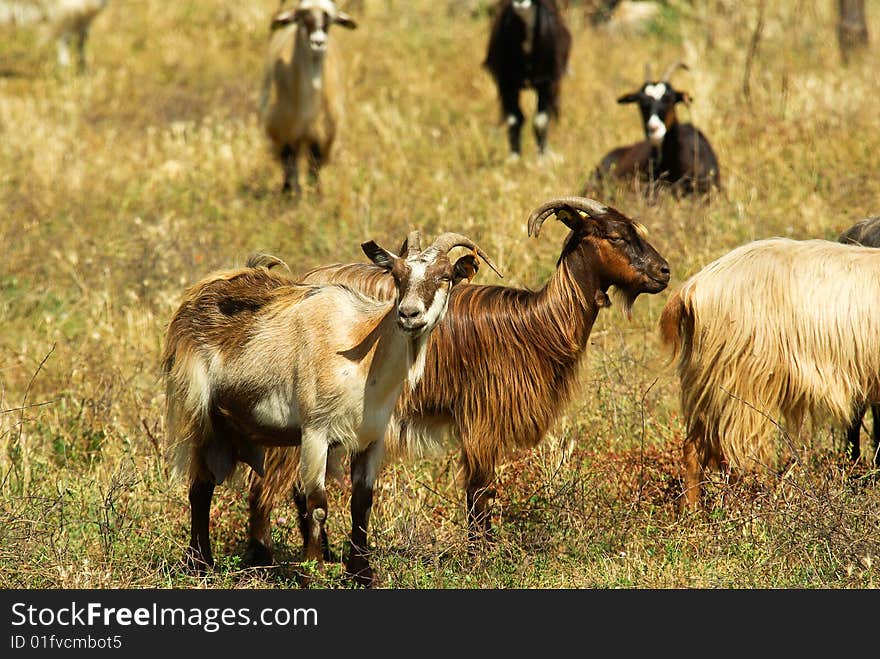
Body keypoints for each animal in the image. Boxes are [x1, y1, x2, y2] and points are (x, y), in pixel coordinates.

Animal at [161, 232, 498, 588]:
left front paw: (362, 574)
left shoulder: (371, 438)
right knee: (200, 486)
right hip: (199, 413)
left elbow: (362, 502)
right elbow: (317, 504)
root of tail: (204, 290)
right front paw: (314, 572)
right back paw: (200, 564)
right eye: (397, 275)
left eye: (445, 276)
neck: (363, 354)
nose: (409, 314)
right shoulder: (315, 433)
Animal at [241, 199, 668, 564]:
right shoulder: (481, 419)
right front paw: (483, 558)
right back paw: (266, 561)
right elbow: (480, 491)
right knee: (269, 486)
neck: (536, 326)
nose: (664, 271)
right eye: (615, 236)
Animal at [482, 0, 572, 159]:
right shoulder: (507, 84)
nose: (520, 3)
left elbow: (540, 120)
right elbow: (514, 119)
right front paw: (514, 158)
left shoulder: (546, 83)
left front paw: (542, 158)